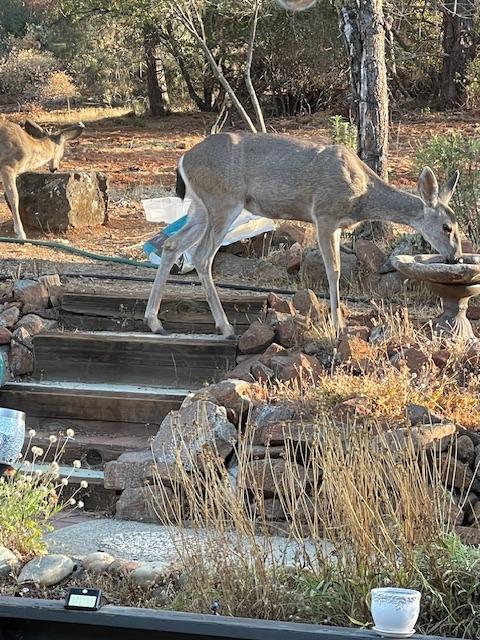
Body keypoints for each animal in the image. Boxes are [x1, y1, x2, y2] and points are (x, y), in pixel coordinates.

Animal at [143, 132, 462, 338]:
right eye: (447, 227)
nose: (456, 257)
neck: (361, 195)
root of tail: (184, 160)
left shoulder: (335, 224)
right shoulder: (324, 214)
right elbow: (334, 270)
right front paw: (338, 326)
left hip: (200, 207)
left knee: (171, 244)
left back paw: (155, 322)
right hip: (223, 201)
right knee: (201, 255)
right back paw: (225, 327)